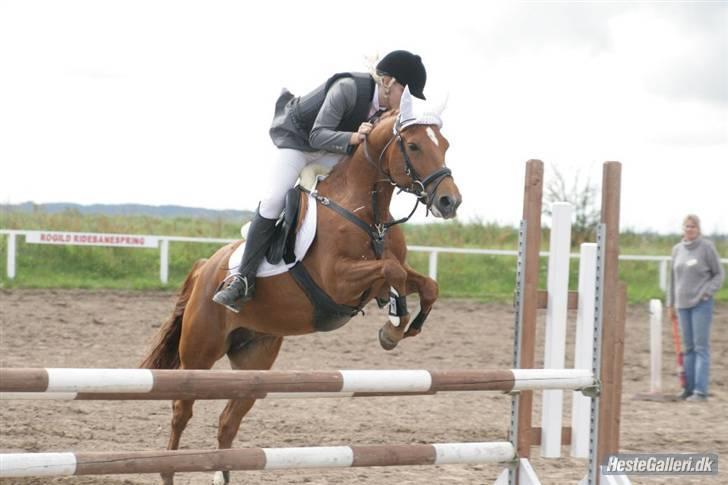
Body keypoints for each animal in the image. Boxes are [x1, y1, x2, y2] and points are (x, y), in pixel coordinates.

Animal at [139, 99, 464, 484]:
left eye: (445, 145)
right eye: (413, 146)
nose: (450, 202)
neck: (366, 211)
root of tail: (206, 266)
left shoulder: (383, 274)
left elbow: (425, 284)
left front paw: (401, 326)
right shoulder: (337, 280)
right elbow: (391, 271)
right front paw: (394, 323)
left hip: (255, 360)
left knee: (228, 421)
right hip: (200, 354)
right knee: (181, 409)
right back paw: (168, 470)